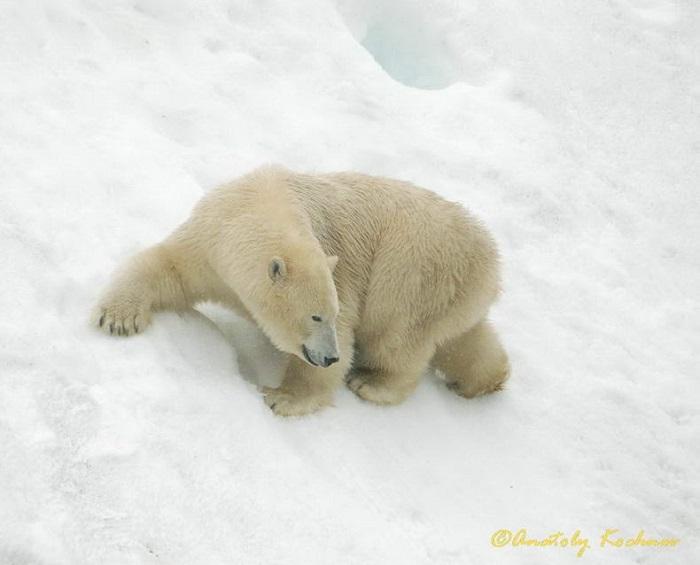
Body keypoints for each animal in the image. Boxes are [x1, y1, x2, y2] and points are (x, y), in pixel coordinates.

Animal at [93, 164, 508, 414]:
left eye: (330, 314)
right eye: (315, 316)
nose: (330, 357)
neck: (259, 204)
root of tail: (492, 263)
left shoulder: (341, 270)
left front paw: (283, 398)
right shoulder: (209, 246)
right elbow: (167, 267)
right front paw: (118, 318)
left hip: (412, 270)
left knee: (397, 337)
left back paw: (372, 383)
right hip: (449, 289)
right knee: (461, 337)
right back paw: (482, 380)